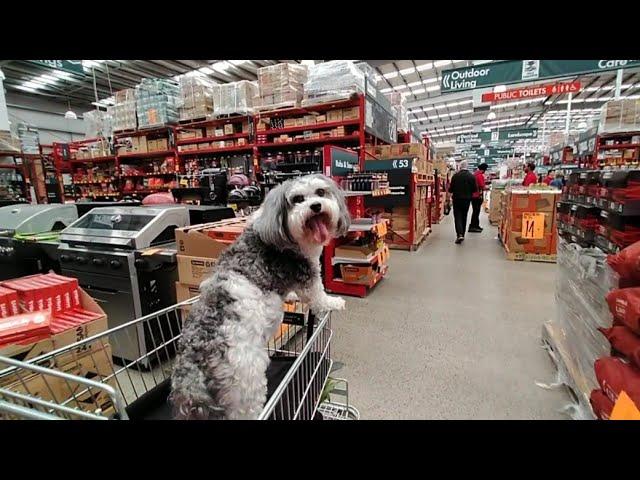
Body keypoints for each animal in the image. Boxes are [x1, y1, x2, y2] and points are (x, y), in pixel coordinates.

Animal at [170, 174, 350, 418]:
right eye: (297, 199)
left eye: (321, 192)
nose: (315, 206)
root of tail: (192, 357)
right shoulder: (306, 272)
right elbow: (317, 294)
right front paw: (333, 302)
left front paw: (291, 296)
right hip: (246, 380)